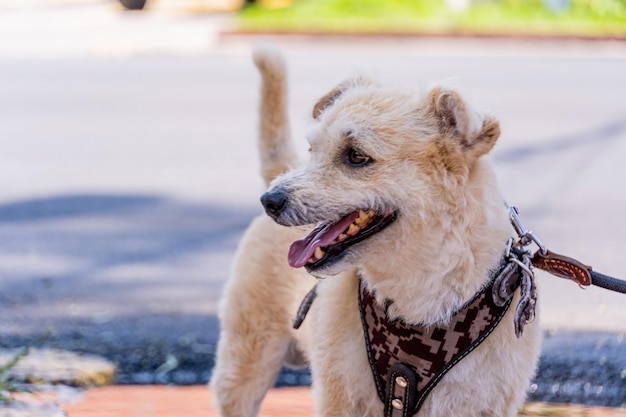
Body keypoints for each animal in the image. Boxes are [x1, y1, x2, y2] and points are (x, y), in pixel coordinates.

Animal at [207, 44, 540, 416]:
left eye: (356, 156)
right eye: (313, 150)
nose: (270, 200)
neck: (415, 296)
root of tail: (280, 169)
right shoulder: (341, 398)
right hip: (246, 362)